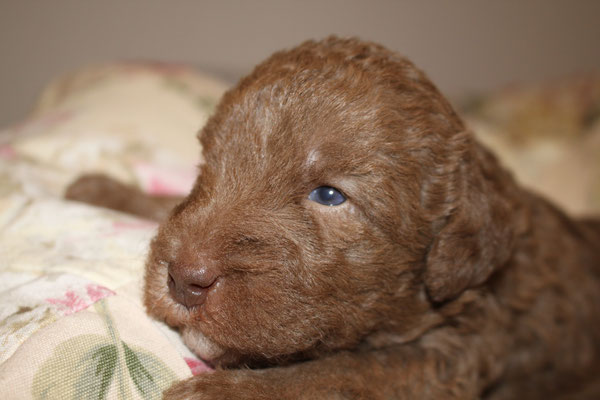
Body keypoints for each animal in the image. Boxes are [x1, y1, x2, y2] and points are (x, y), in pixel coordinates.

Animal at [68, 36, 600, 396]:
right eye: (208, 164)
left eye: (328, 195)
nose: (183, 278)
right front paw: (102, 190)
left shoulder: (448, 356)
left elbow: (332, 375)